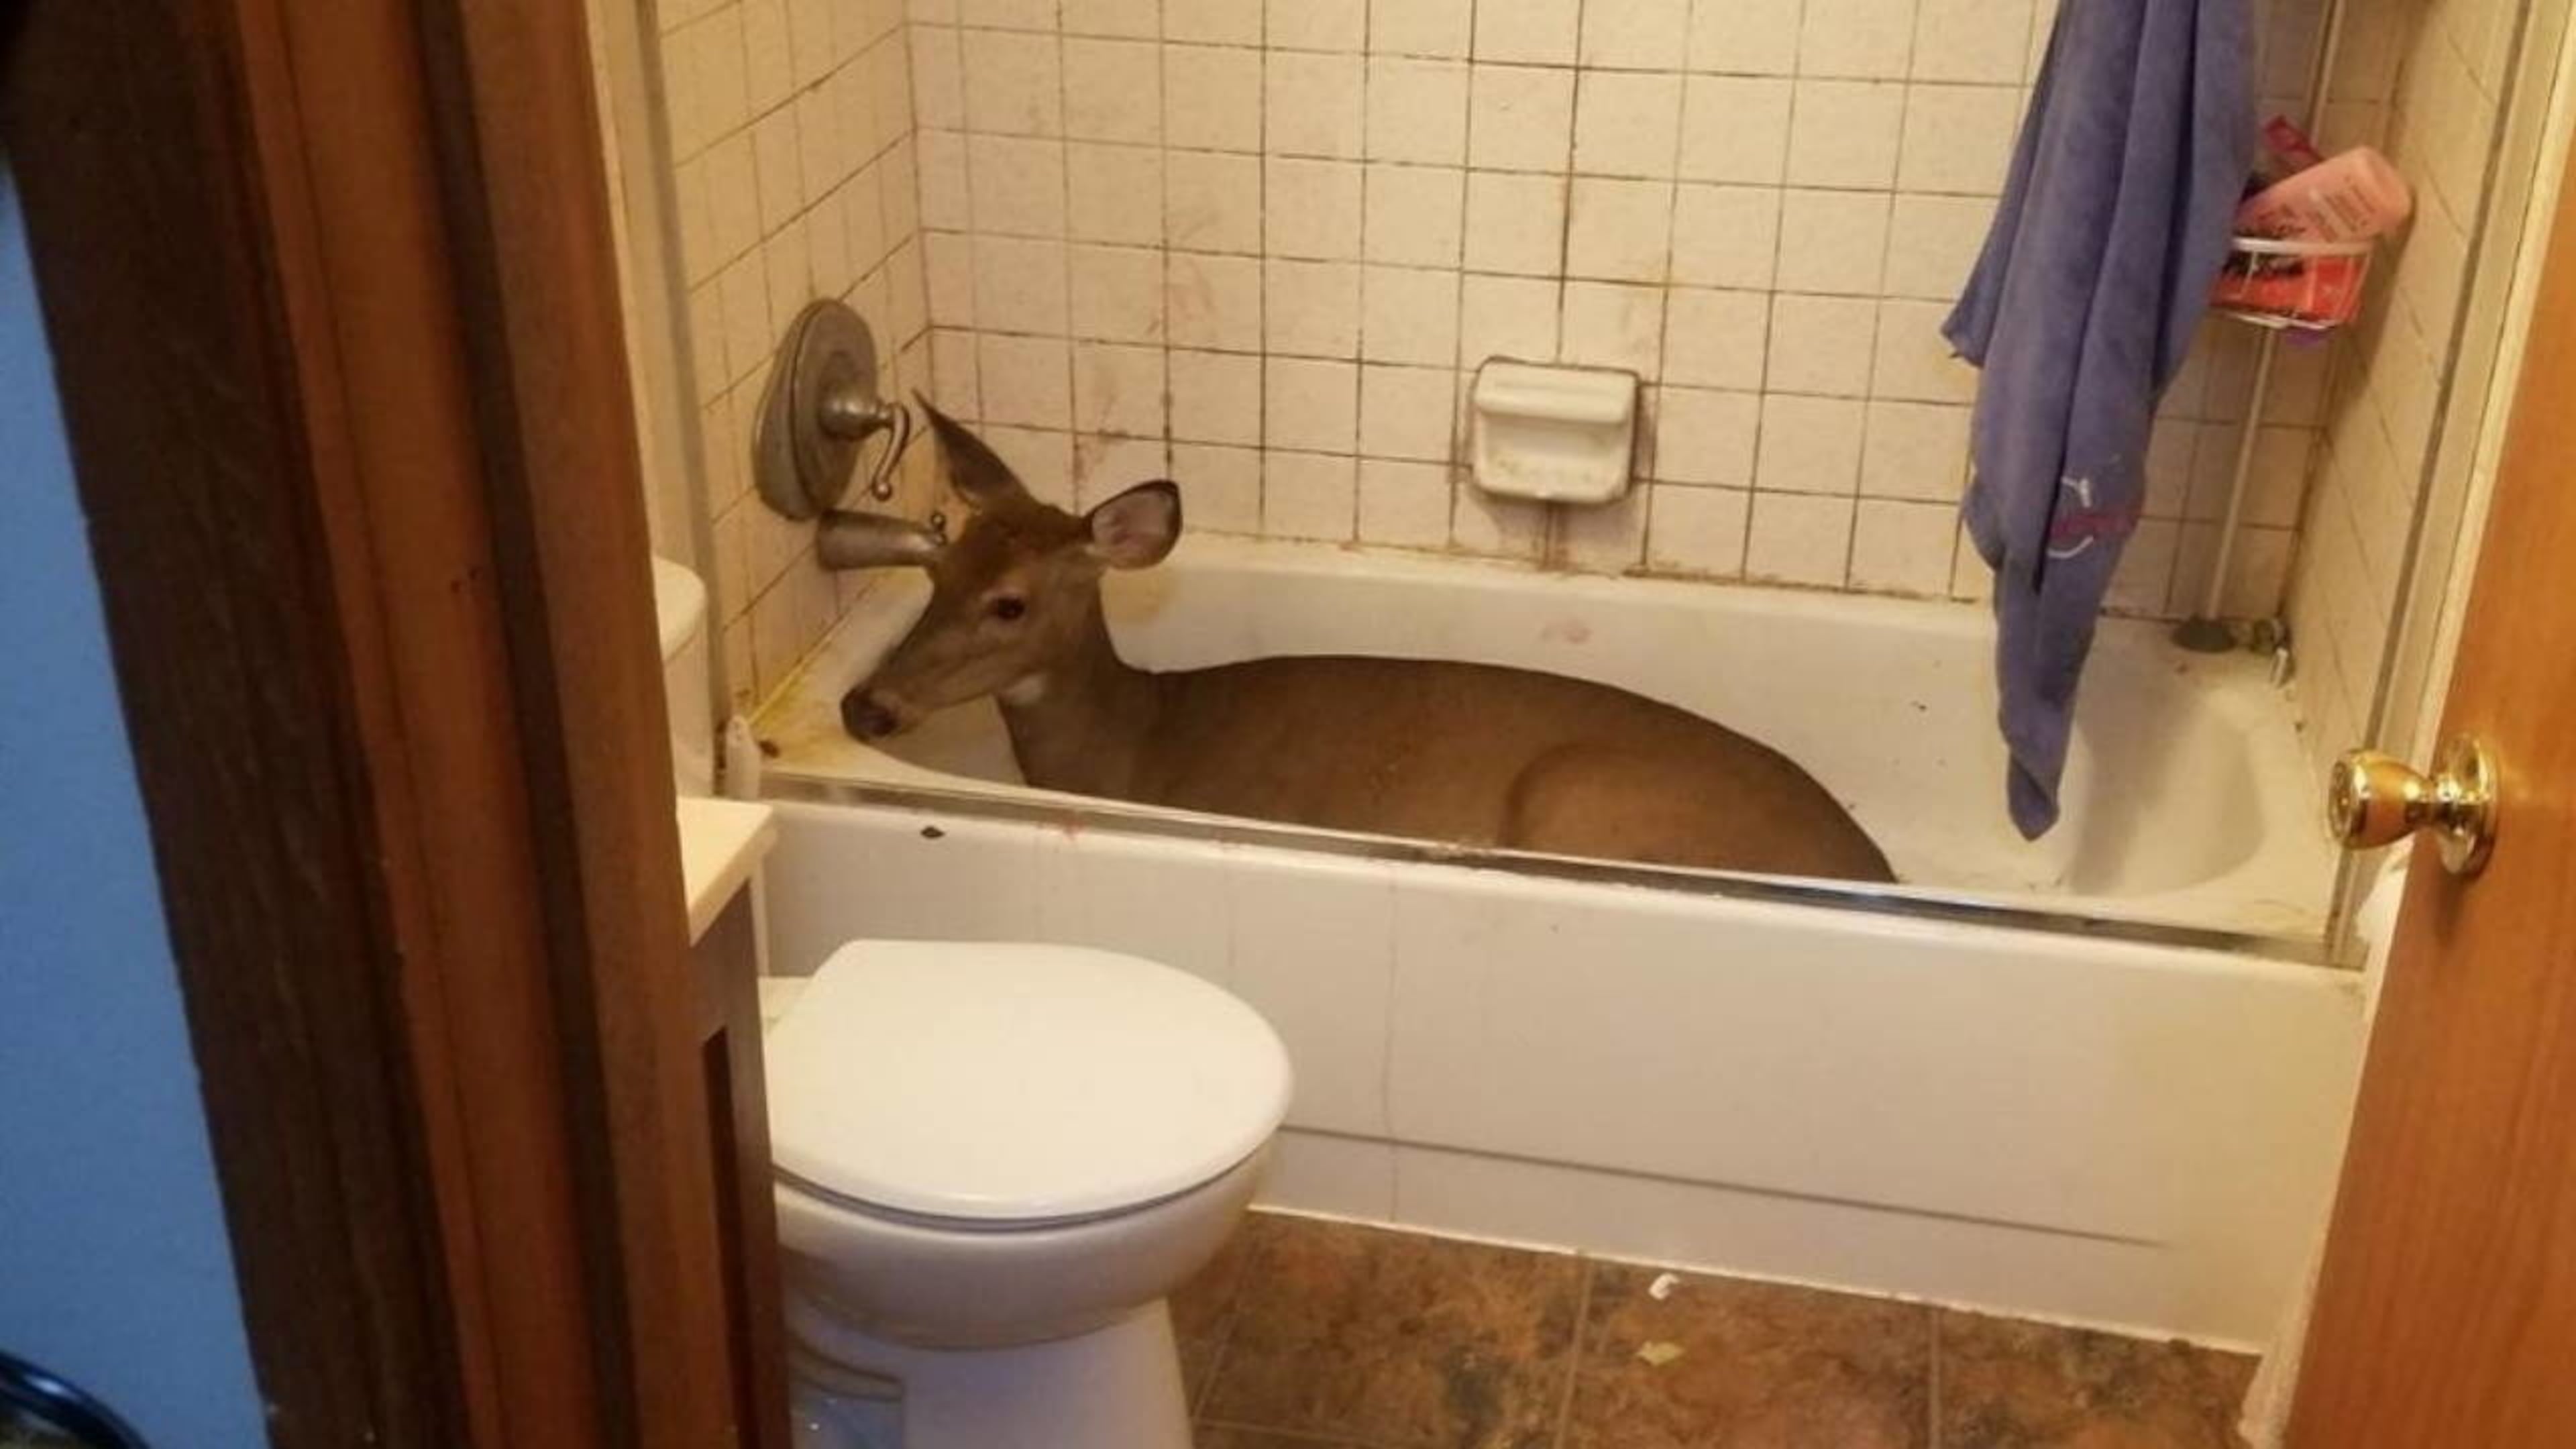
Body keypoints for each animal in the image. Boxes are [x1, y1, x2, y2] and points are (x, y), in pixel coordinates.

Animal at [838, 405, 1897, 884]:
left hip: (1576, 796)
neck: (1136, 749)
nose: (863, 705)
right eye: (937, 571)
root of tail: (1874, 870)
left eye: (1010, 605)